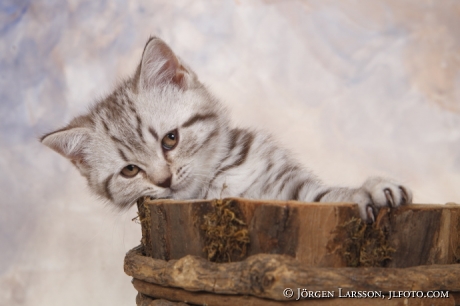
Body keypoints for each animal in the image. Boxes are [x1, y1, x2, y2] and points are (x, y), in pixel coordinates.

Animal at [41, 36, 412, 222]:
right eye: (130, 170)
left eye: (170, 139)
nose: (164, 180)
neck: (216, 185)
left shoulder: (290, 189)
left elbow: (326, 195)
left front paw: (367, 190)